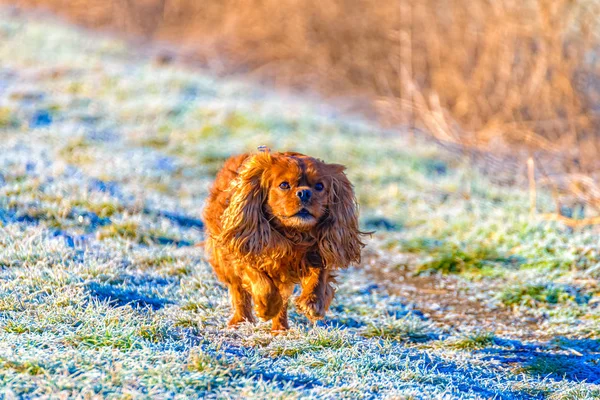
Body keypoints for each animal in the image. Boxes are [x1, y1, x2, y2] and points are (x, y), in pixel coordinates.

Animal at [203, 148, 366, 332]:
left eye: (319, 186)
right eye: (284, 185)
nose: (304, 192)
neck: (293, 234)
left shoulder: (319, 251)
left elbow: (319, 276)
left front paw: (313, 303)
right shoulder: (243, 248)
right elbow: (260, 280)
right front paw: (266, 308)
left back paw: (280, 330)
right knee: (239, 291)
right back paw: (241, 321)